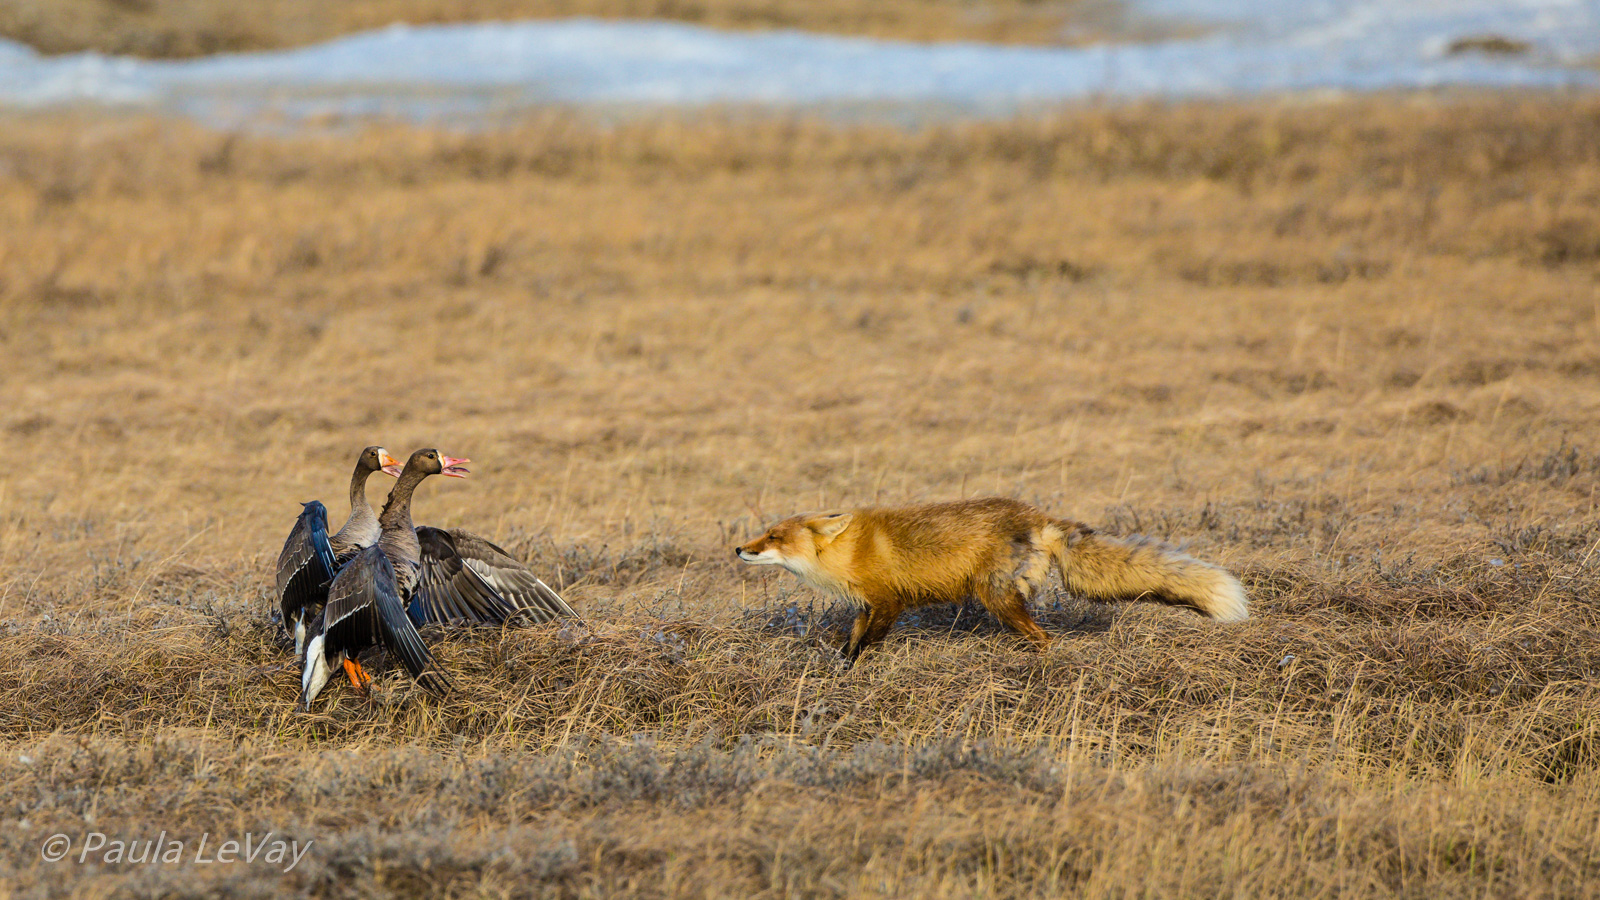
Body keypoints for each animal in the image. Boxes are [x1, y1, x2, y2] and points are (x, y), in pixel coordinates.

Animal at [735, 497, 1247, 664]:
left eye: (774, 536)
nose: (739, 549)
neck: (848, 553)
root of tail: (1036, 516)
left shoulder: (888, 602)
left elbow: (864, 647)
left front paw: (852, 672)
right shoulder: (866, 605)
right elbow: (851, 640)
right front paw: (838, 668)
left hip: (995, 596)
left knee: (1044, 637)